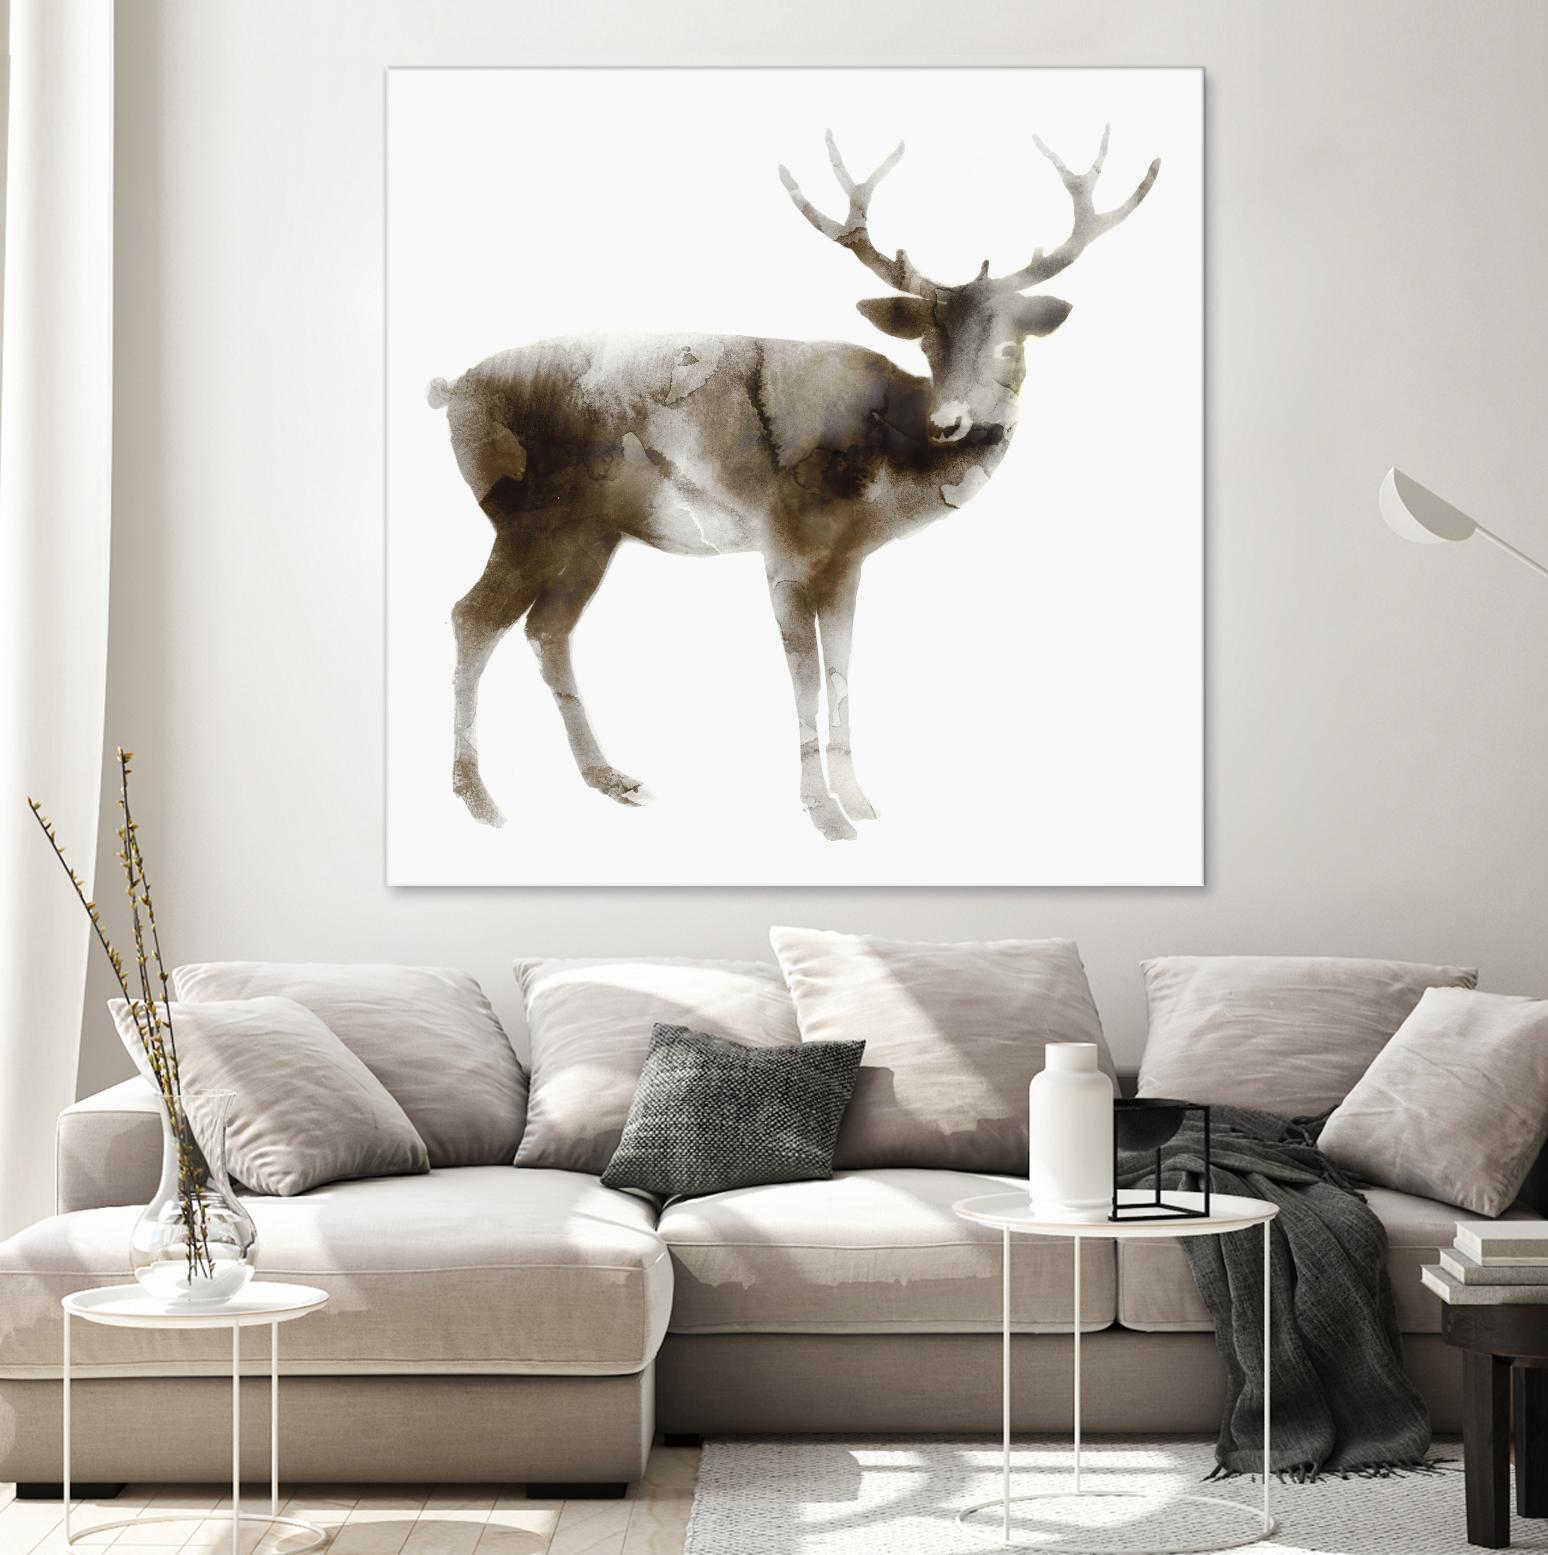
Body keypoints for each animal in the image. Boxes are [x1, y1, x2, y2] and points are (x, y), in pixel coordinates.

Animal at [429, 127, 1159, 841]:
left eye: (1011, 344)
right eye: (928, 343)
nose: (952, 422)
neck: (884, 472)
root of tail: (451, 390)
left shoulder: (847, 561)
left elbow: (840, 669)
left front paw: (859, 799)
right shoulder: (782, 545)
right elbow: (803, 677)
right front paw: (824, 814)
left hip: (590, 534)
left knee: (547, 629)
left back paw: (609, 777)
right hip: (524, 518)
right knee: (472, 617)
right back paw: (479, 798)